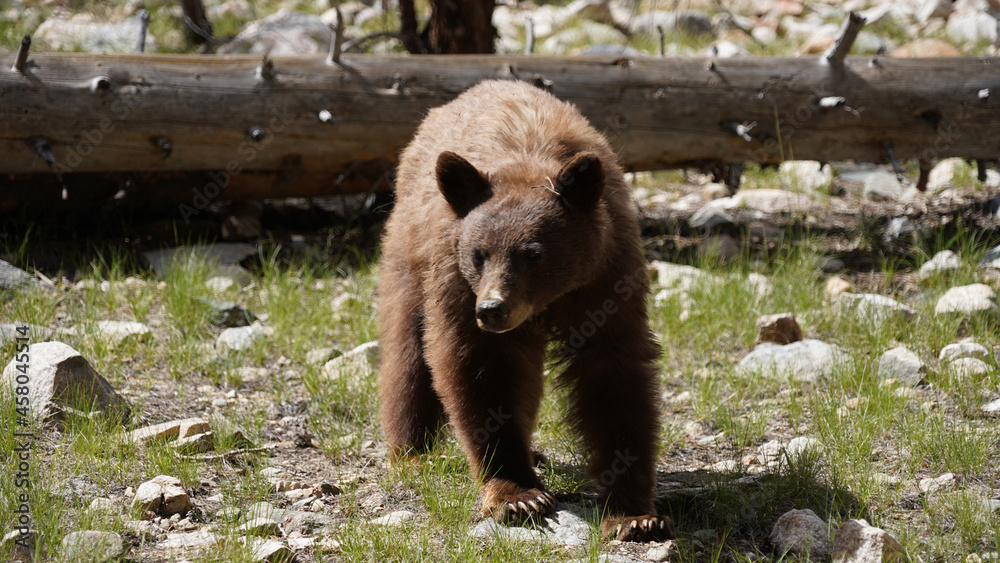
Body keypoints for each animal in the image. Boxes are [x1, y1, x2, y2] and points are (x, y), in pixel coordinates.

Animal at [377, 79, 670, 542]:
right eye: (478, 253)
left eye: (532, 252)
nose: (492, 309)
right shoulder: (456, 281)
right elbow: (475, 368)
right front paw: (518, 494)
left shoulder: (607, 275)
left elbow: (615, 374)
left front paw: (634, 513)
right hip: (411, 254)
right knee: (407, 351)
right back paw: (411, 453)